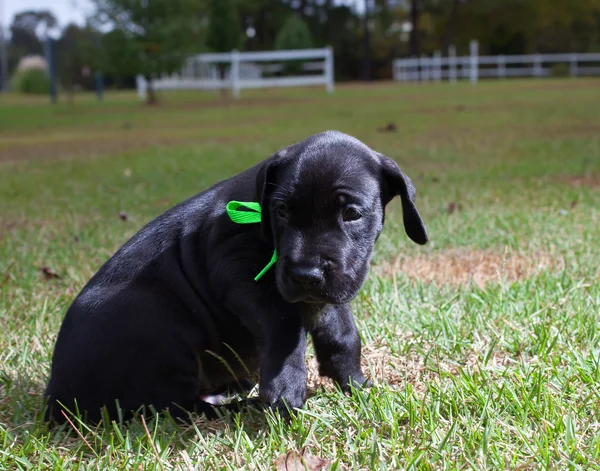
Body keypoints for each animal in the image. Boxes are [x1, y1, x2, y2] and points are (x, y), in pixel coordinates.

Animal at [43, 131, 426, 426]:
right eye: (281, 211)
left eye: (351, 214)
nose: (305, 275)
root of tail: (54, 396)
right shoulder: (236, 270)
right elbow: (283, 324)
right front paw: (285, 385)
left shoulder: (332, 289)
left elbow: (341, 334)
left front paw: (356, 384)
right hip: (153, 308)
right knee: (175, 406)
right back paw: (242, 405)